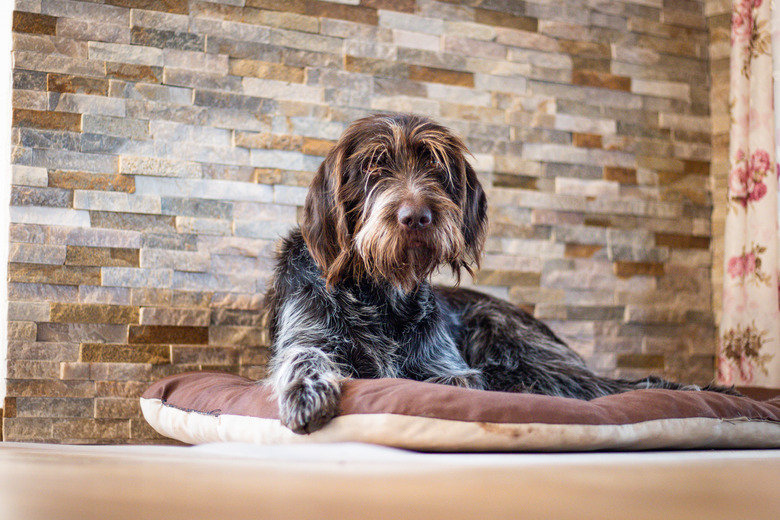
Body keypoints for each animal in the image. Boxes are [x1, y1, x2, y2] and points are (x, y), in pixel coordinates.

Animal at [266, 114, 736, 434]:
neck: (383, 295)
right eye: (372, 168)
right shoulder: (307, 335)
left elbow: (458, 385)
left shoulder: (447, 368)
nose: (416, 217)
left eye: (436, 168)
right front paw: (306, 389)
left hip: (512, 347)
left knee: (606, 387)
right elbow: (303, 355)